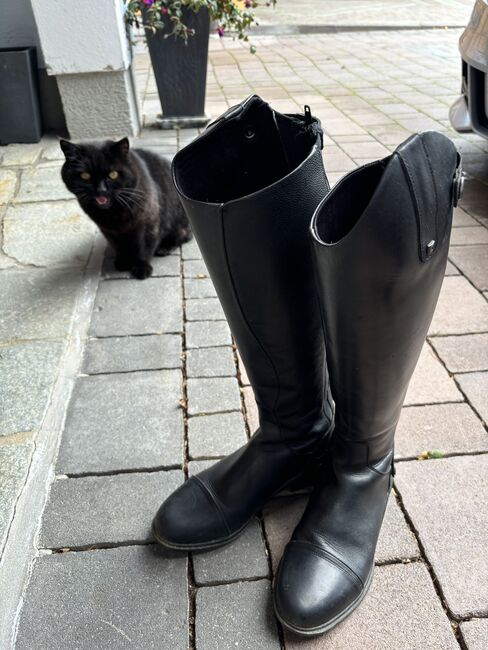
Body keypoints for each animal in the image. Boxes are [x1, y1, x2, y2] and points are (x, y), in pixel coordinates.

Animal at [60, 137, 192, 278]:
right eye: (85, 176)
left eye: (113, 174)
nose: (101, 189)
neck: (114, 212)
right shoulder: (109, 231)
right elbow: (118, 246)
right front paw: (124, 261)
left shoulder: (148, 222)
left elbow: (144, 246)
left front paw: (142, 267)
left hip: (177, 222)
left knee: (183, 236)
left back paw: (164, 248)